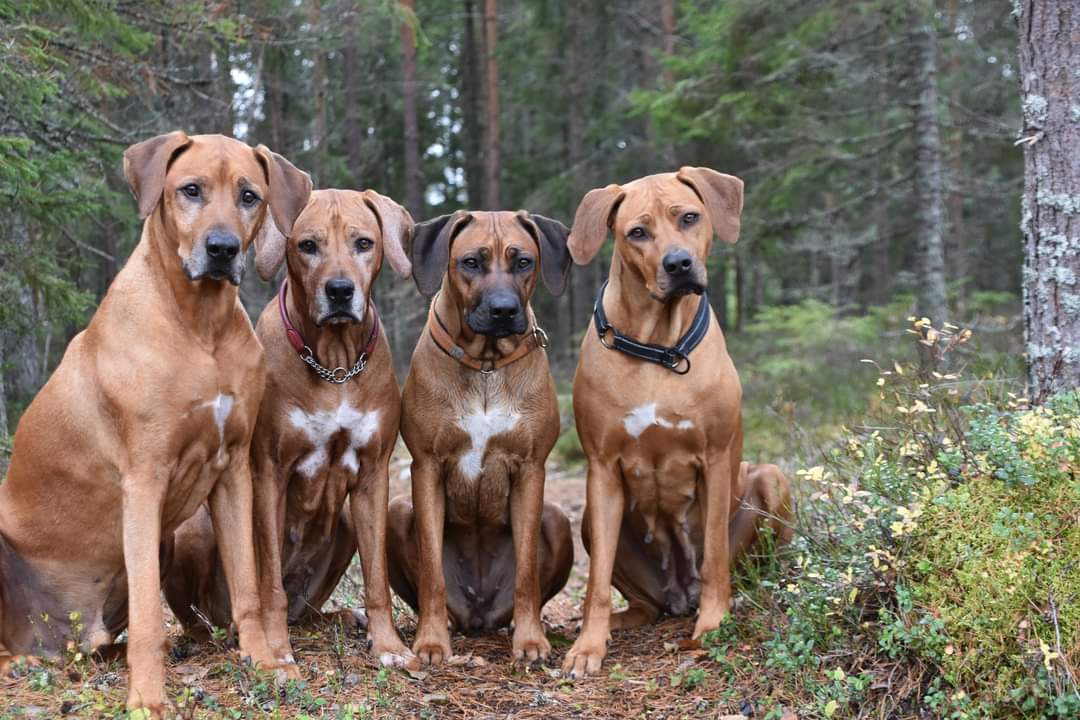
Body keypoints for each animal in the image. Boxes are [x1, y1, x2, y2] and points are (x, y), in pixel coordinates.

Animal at [0, 133, 313, 716]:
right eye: (190, 190)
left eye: (250, 196)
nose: (222, 249)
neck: (200, 326)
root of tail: (57, 639)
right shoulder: (144, 479)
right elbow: (149, 618)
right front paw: (147, 697)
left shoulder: (234, 471)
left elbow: (247, 587)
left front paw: (265, 662)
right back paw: (23, 664)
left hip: (165, 542)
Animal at [164, 187, 416, 669]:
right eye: (307, 246)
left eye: (364, 243)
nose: (340, 291)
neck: (334, 363)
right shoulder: (269, 472)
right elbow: (267, 583)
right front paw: (275, 648)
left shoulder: (374, 474)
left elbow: (377, 577)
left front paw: (390, 645)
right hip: (189, 532)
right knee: (202, 617)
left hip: (343, 526)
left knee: (310, 608)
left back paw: (341, 618)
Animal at [386, 208, 574, 664]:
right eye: (471, 262)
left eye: (523, 261)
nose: (504, 310)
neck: (487, 364)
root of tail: (479, 613)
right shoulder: (427, 467)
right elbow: (431, 570)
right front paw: (431, 641)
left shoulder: (530, 469)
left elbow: (527, 572)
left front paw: (531, 640)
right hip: (396, 510)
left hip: (558, 519)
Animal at [561, 166, 790, 677]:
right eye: (637, 233)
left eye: (689, 218)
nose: (679, 264)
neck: (656, 348)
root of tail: (677, 594)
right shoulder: (601, 470)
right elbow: (596, 581)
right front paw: (588, 645)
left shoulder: (716, 459)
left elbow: (715, 559)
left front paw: (713, 624)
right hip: (589, 522)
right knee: (642, 603)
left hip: (771, 477)